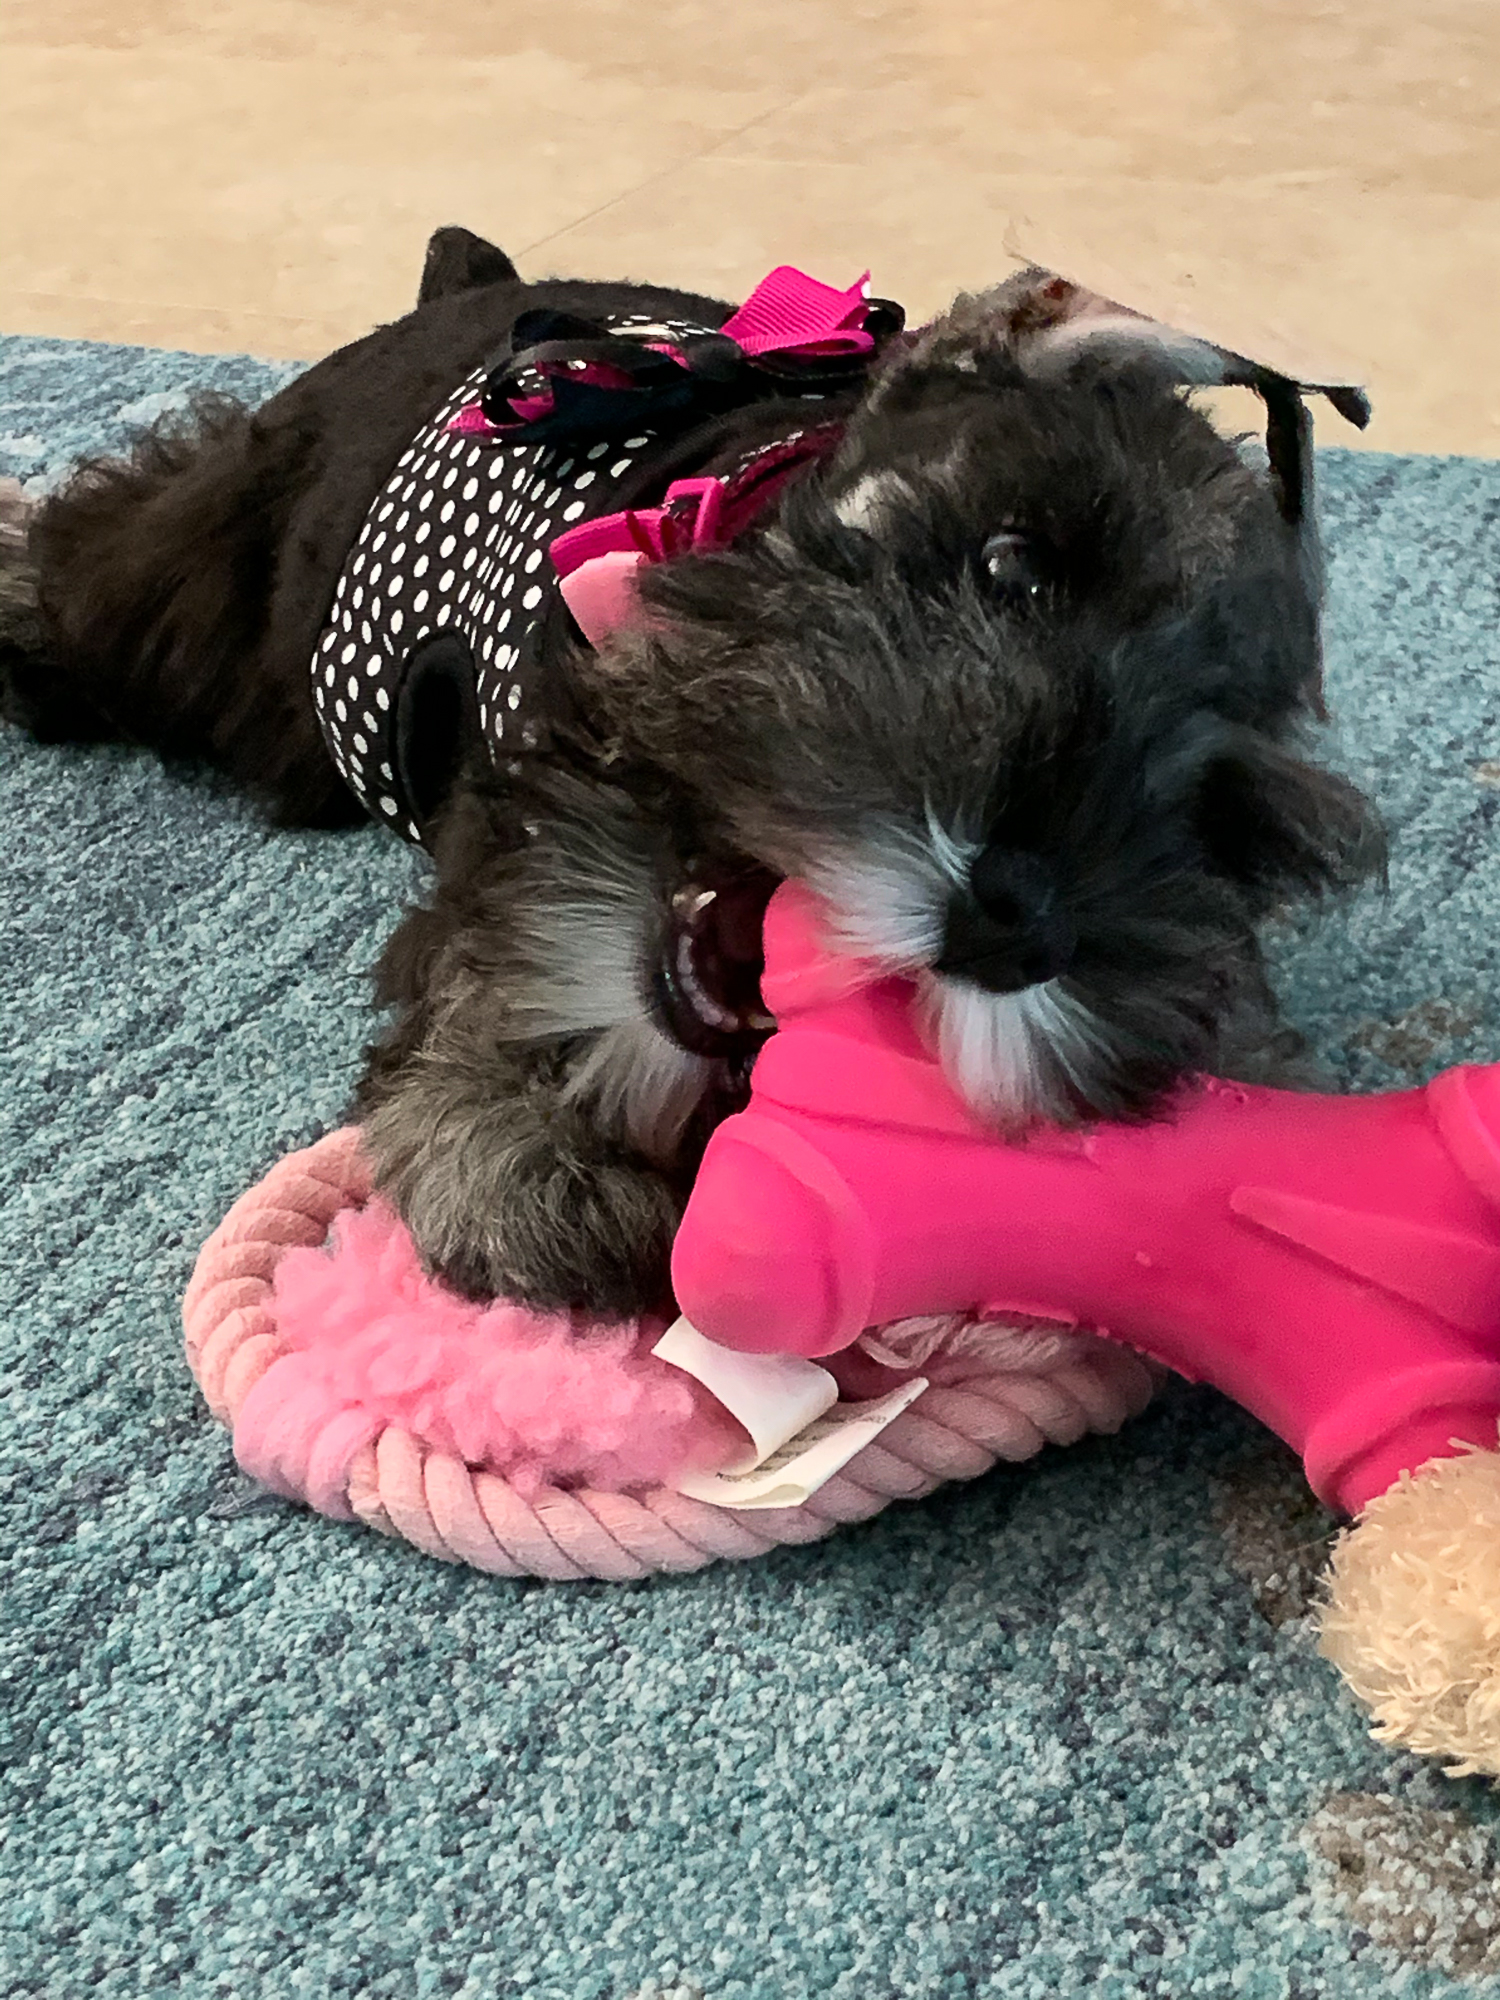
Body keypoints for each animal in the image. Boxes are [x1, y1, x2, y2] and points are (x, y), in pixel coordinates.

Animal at [0, 227, 1384, 1321]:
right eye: (1016, 563)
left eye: (1215, 818)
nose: (1018, 913)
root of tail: (482, 283)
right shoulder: (512, 819)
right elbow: (473, 967)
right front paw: (523, 1155)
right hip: (206, 574)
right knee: (94, 548)